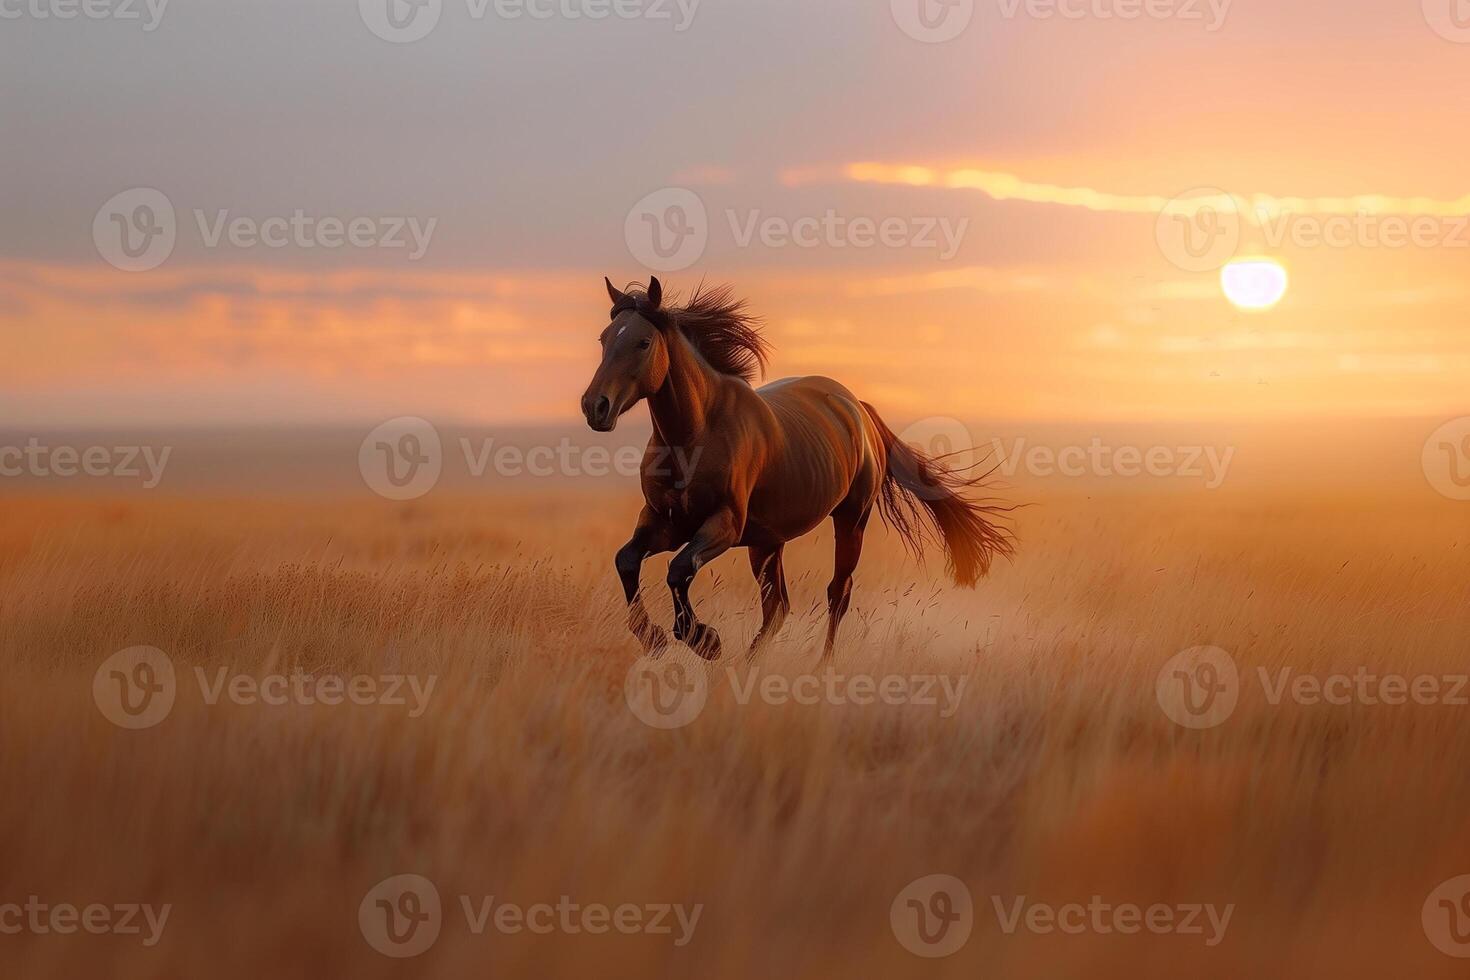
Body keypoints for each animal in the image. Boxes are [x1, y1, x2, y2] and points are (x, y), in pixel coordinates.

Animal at [579, 276, 1017, 664]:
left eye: (643, 342)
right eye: (604, 339)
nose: (594, 406)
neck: (696, 434)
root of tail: (858, 408)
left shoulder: (723, 525)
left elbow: (678, 569)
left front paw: (704, 640)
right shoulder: (664, 523)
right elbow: (627, 561)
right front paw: (654, 637)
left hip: (850, 520)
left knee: (838, 593)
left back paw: (820, 666)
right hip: (767, 541)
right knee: (777, 607)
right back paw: (748, 665)